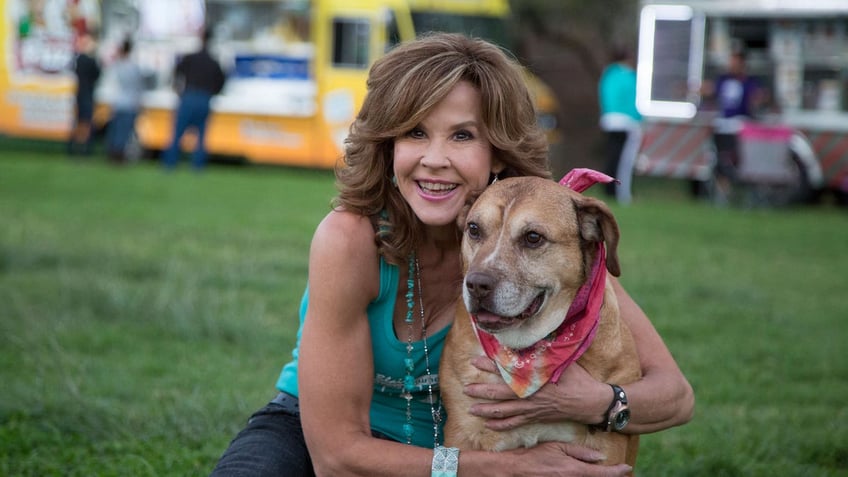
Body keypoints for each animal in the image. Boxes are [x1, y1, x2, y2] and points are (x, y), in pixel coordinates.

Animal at [440, 173, 640, 466]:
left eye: (533, 237)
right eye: (474, 229)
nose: (476, 285)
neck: (527, 350)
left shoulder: (605, 454)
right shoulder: (463, 433)